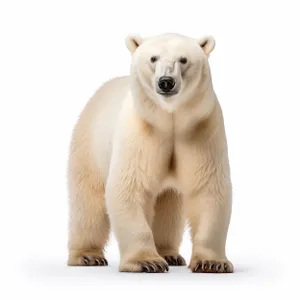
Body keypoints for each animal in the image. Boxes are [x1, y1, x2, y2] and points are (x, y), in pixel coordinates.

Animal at [67, 31, 233, 274]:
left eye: (183, 59)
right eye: (153, 58)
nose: (166, 82)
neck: (169, 118)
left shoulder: (200, 130)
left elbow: (207, 188)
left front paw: (212, 263)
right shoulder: (141, 131)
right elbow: (129, 187)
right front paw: (147, 262)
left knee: (168, 205)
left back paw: (170, 254)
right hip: (89, 146)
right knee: (89, 203)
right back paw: (87, 256)